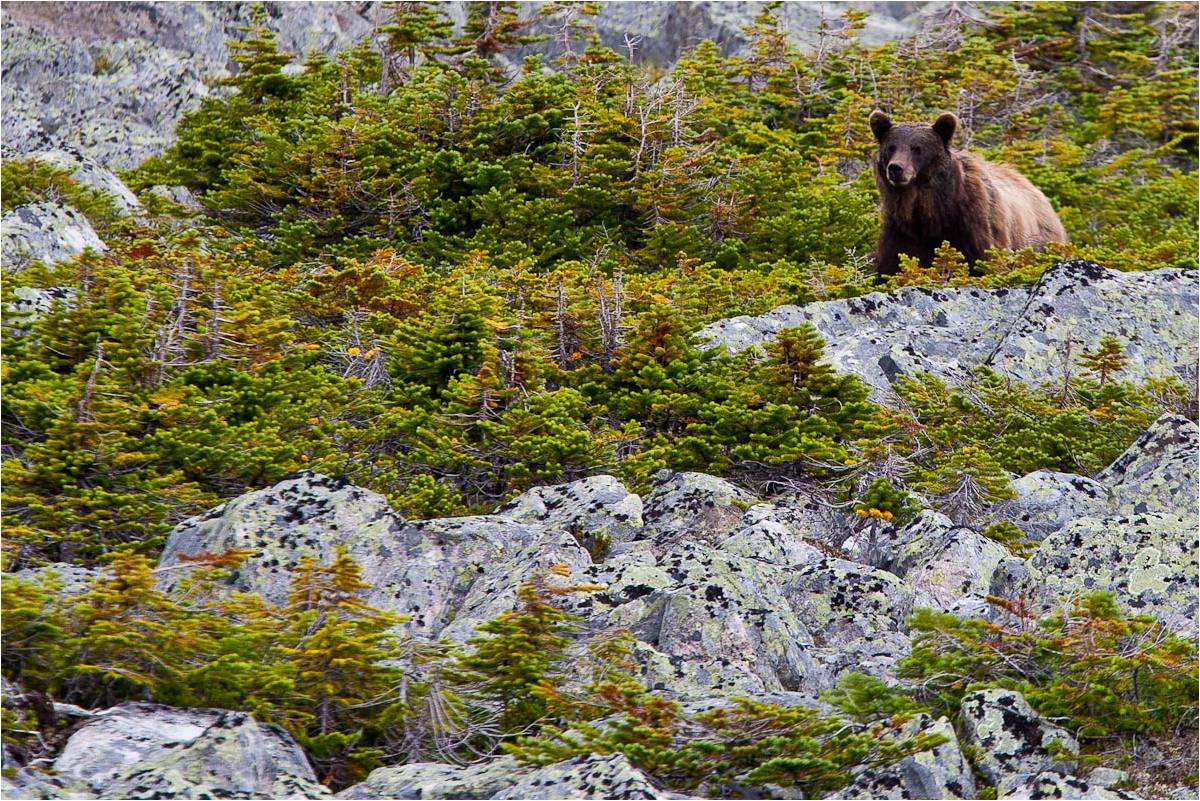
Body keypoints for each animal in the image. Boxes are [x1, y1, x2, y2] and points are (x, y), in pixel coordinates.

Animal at [869, 110, 1067, 276]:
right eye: (891, 147)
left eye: (917, 148)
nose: (895, 168)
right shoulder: (901, 228)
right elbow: (894, 264)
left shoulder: (972, 222)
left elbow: (982, 261)